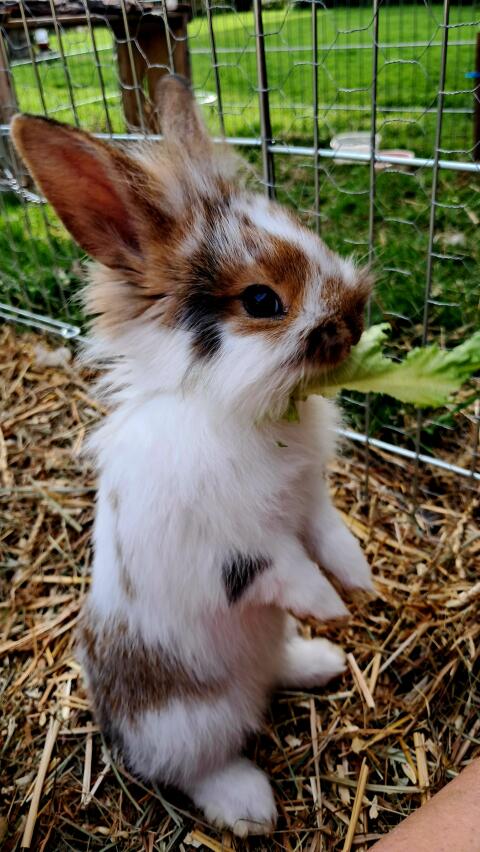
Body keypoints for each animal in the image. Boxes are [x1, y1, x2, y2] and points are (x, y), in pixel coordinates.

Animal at [11, 75, 373, 837]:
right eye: (262, 300)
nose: (354, 322)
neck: (242, 411)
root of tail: (117, 731)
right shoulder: (235, 546)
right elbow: (286, 568)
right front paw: (332, 605)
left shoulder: (311, 500)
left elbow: (331, 538)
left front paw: (360, 585)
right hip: (190, 722)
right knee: (191, 768)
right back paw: (250, 805)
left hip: (262, 653)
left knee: (273, 670)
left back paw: (319, 660)